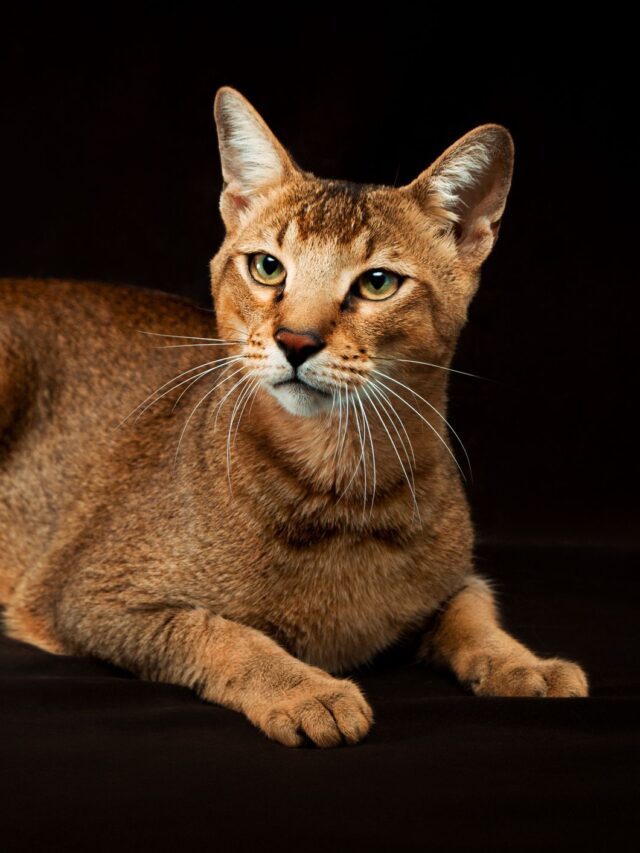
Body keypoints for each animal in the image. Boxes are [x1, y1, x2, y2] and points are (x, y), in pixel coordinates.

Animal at [0, 83, 588, 744]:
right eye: (267, 267)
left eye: (378, 282)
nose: (297, 340)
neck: (345, 488)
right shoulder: (94, 597)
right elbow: (222, 633)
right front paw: (305, 690)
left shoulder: (456, 579)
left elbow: (476, 611)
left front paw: (526, 665)